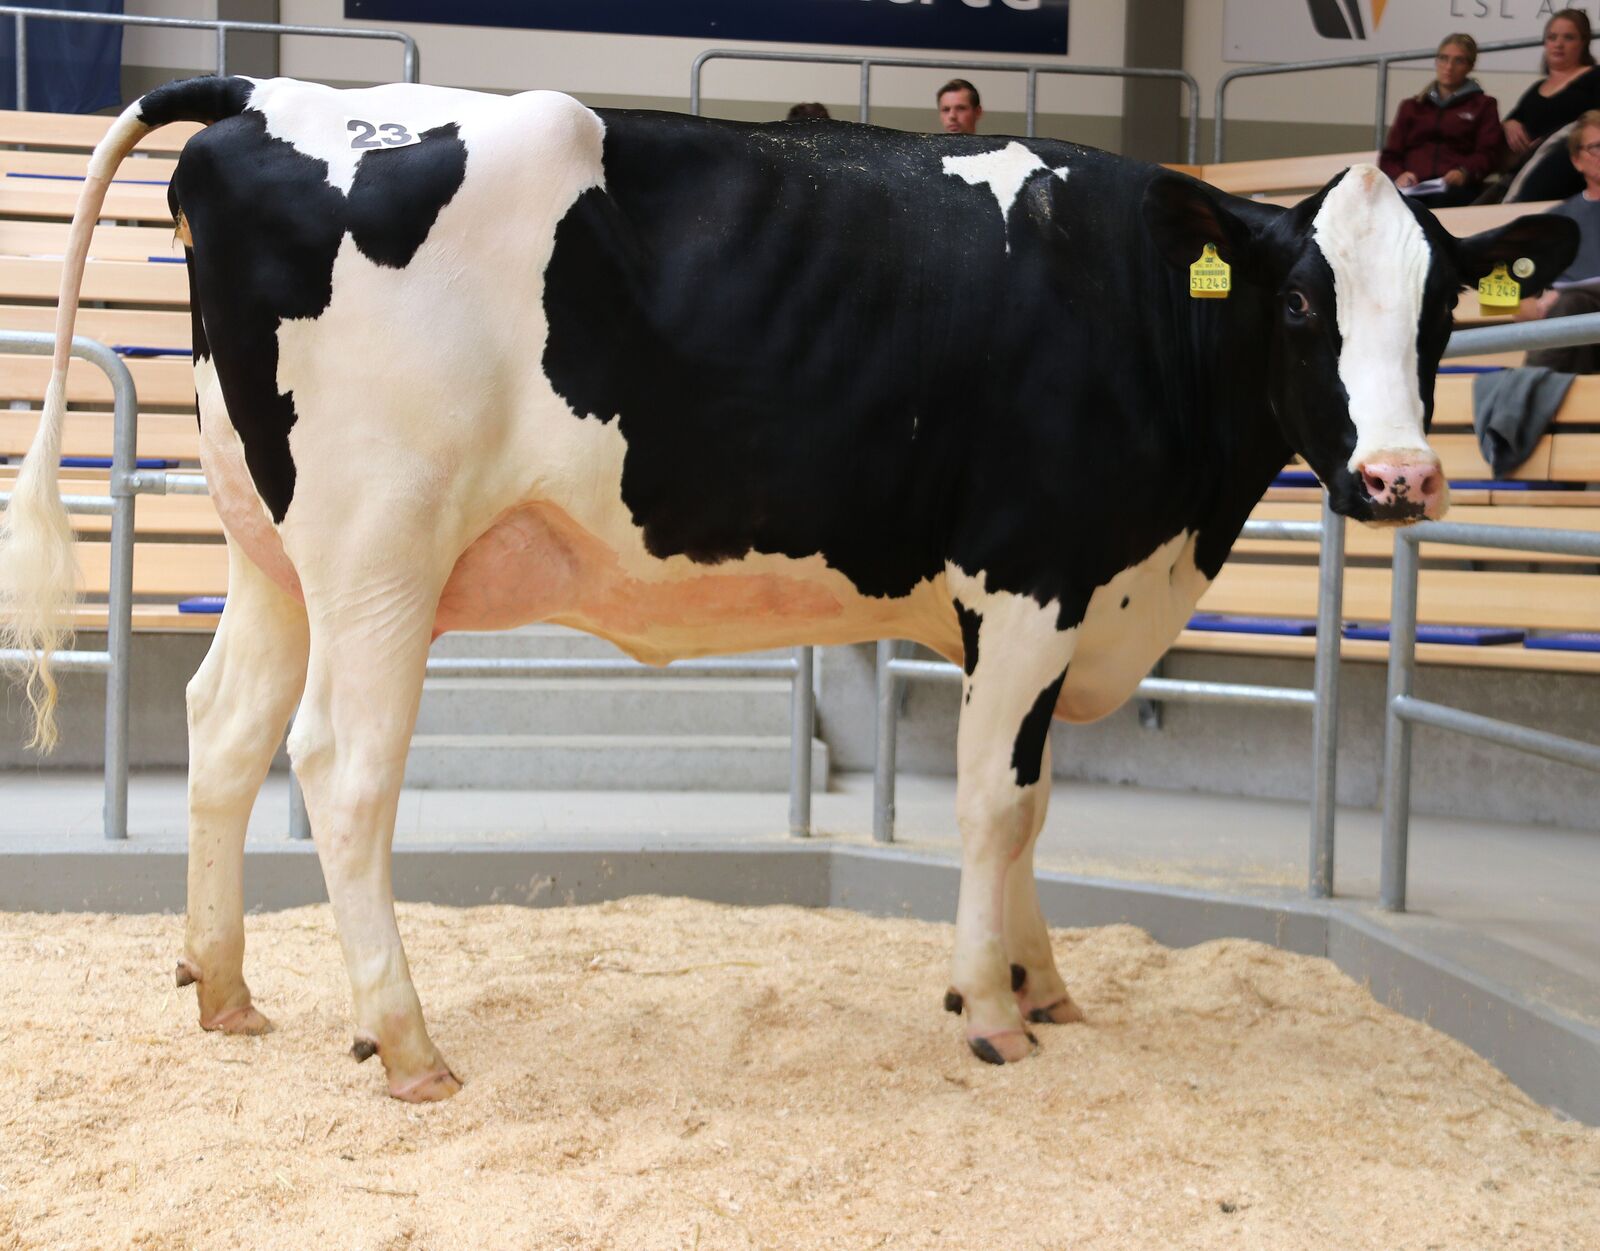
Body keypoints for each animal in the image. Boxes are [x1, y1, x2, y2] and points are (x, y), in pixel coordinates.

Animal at [0, 75, 1576, 1101]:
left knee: (224, 729)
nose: (1401, 479)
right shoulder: (1033, 578)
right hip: (381, 543)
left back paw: (225, 989)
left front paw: (1039, 981)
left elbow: (1034, 803)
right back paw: (404, 1039)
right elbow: (997, 799)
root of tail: (270, 90)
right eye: (1301, 301)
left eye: (1443, 309)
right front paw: (990, 1011)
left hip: (274, 552)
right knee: (341, 760)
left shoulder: (1053, 604)